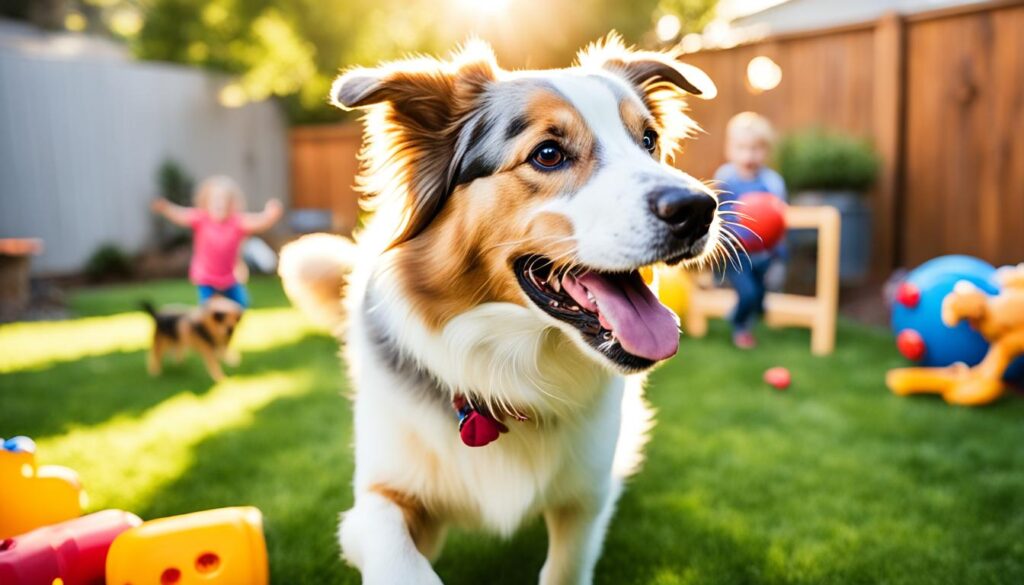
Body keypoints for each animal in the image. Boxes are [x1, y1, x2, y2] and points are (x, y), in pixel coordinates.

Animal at [276, 34, 724, 581]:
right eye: (548, 154)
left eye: (649, 141)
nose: (698, 209)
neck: (508, 370)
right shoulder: (378, 500)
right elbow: (400, 556)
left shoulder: (586, 498)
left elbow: (567, 565)